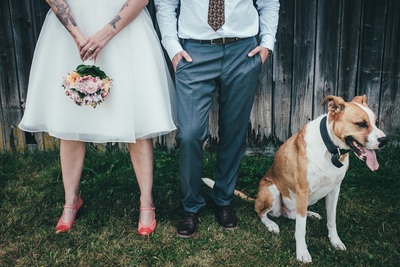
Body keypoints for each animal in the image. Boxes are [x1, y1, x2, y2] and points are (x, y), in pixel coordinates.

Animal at [255, 95, 390, 262]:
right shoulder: (302, 191)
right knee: (261, 212)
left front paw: (335, 241)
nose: (385, 140)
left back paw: (311, 214)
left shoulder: (334, 190)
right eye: (361, 124)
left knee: (295, 215)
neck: (330, 149)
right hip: (271, 190)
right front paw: (302, 252)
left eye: (376, 122)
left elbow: (331, 220)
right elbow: (301, 229)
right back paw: (271, 224)